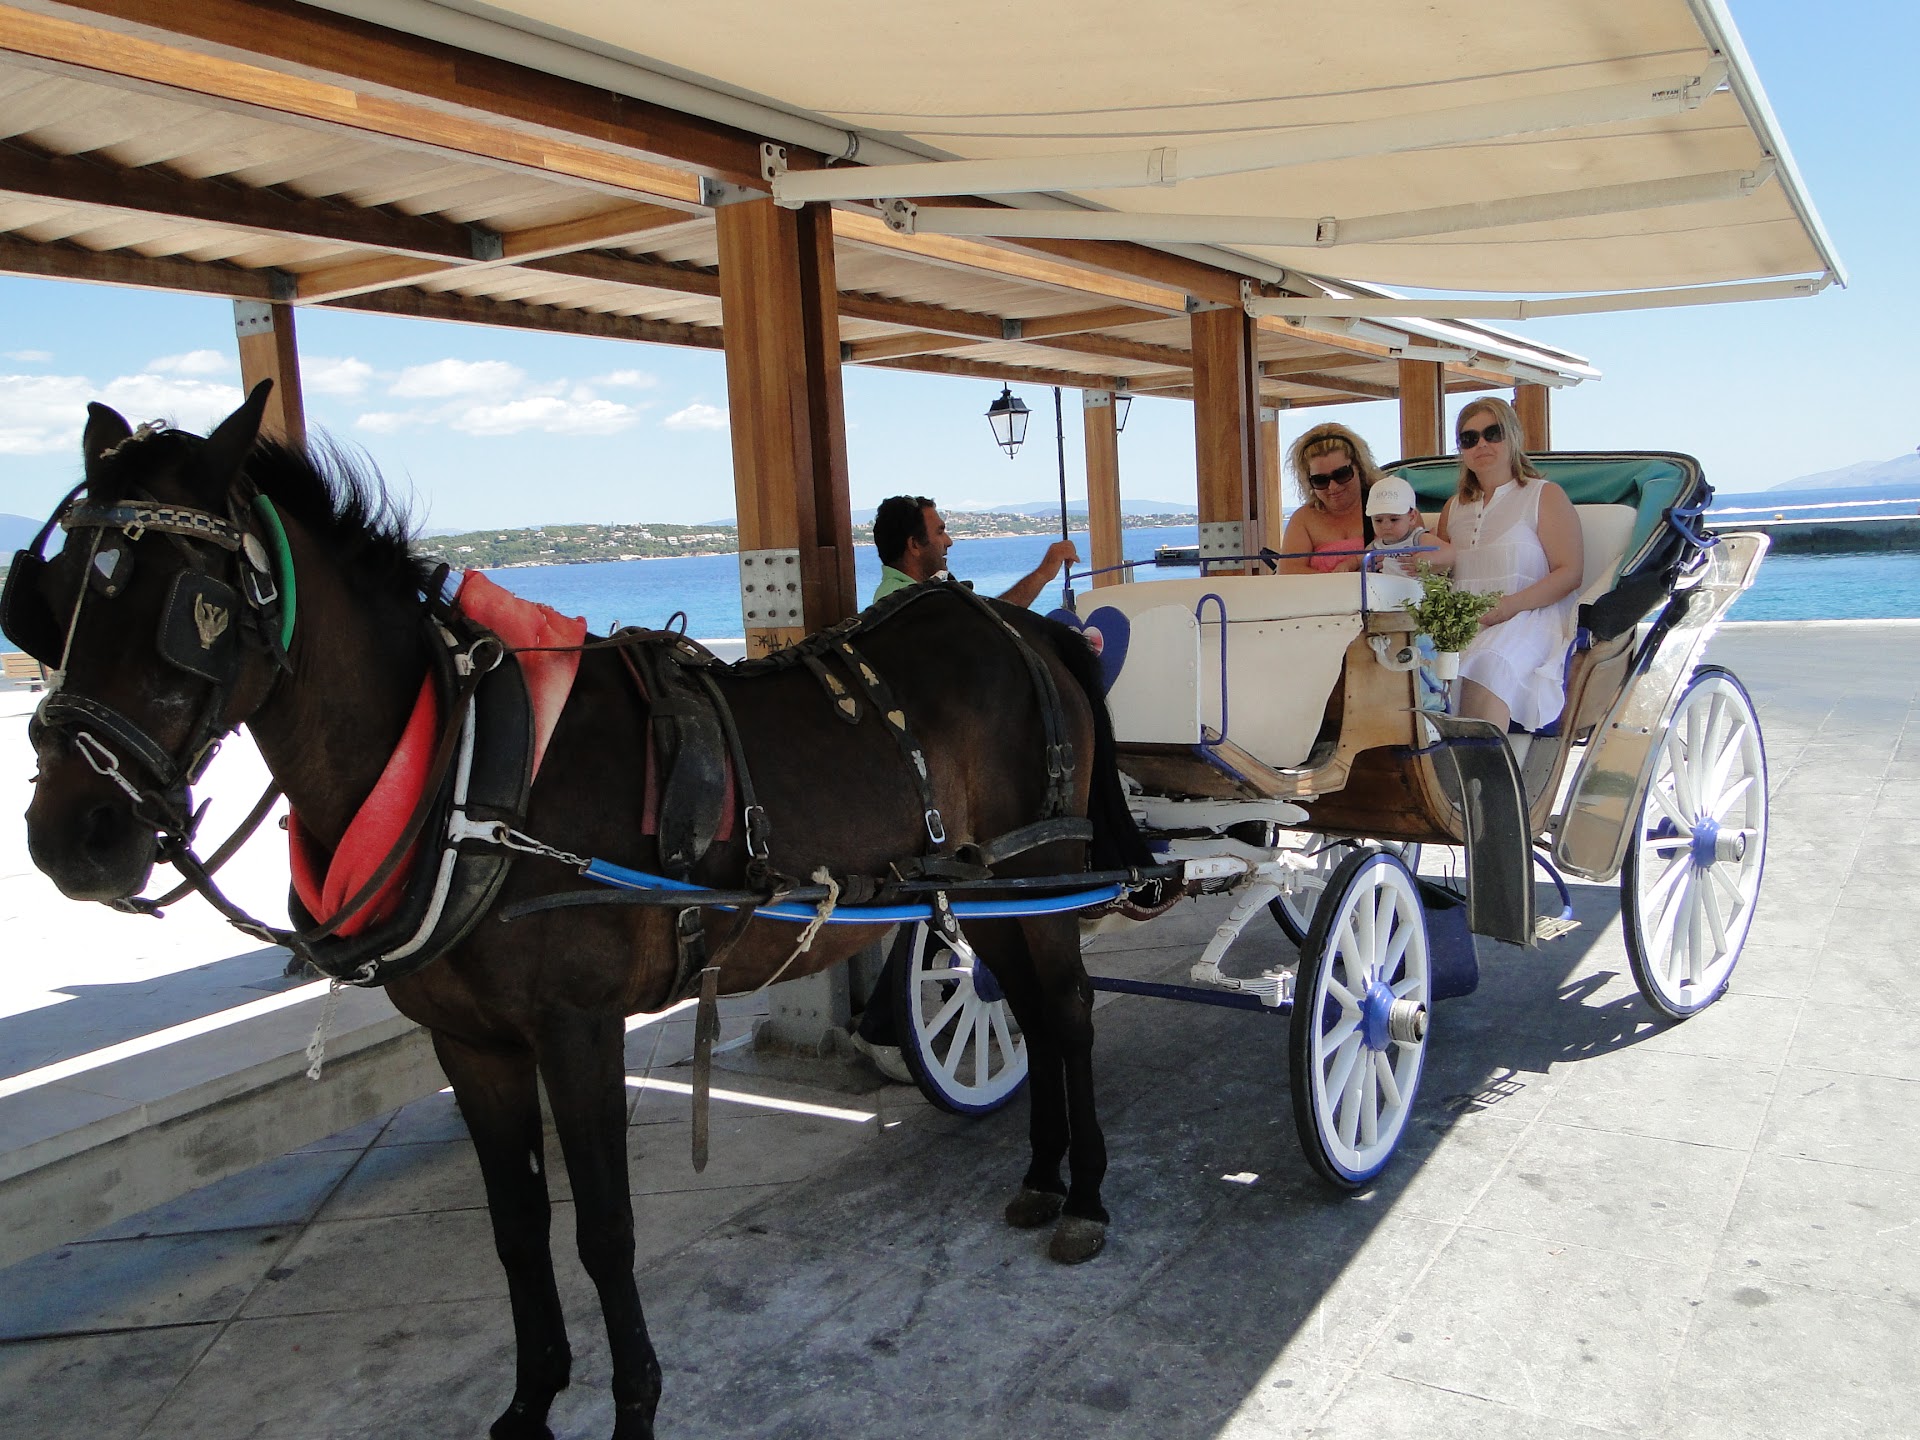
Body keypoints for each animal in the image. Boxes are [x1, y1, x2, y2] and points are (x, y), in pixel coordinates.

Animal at [4, 384, 1145, 1440]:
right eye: (46, 598)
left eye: (189, 606)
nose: (71, 838)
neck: (468, 768)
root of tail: (1024, 624)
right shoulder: (471, 1043)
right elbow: (517, 1224)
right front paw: (531, 1399)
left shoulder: (576, 1028)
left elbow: (602, 1226)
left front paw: (632, 1405)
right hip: (989, 887)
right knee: (1029, 1012)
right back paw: (1043, 1174)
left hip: (1045, 872)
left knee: (1069, 1014)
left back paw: (1086, 1194)